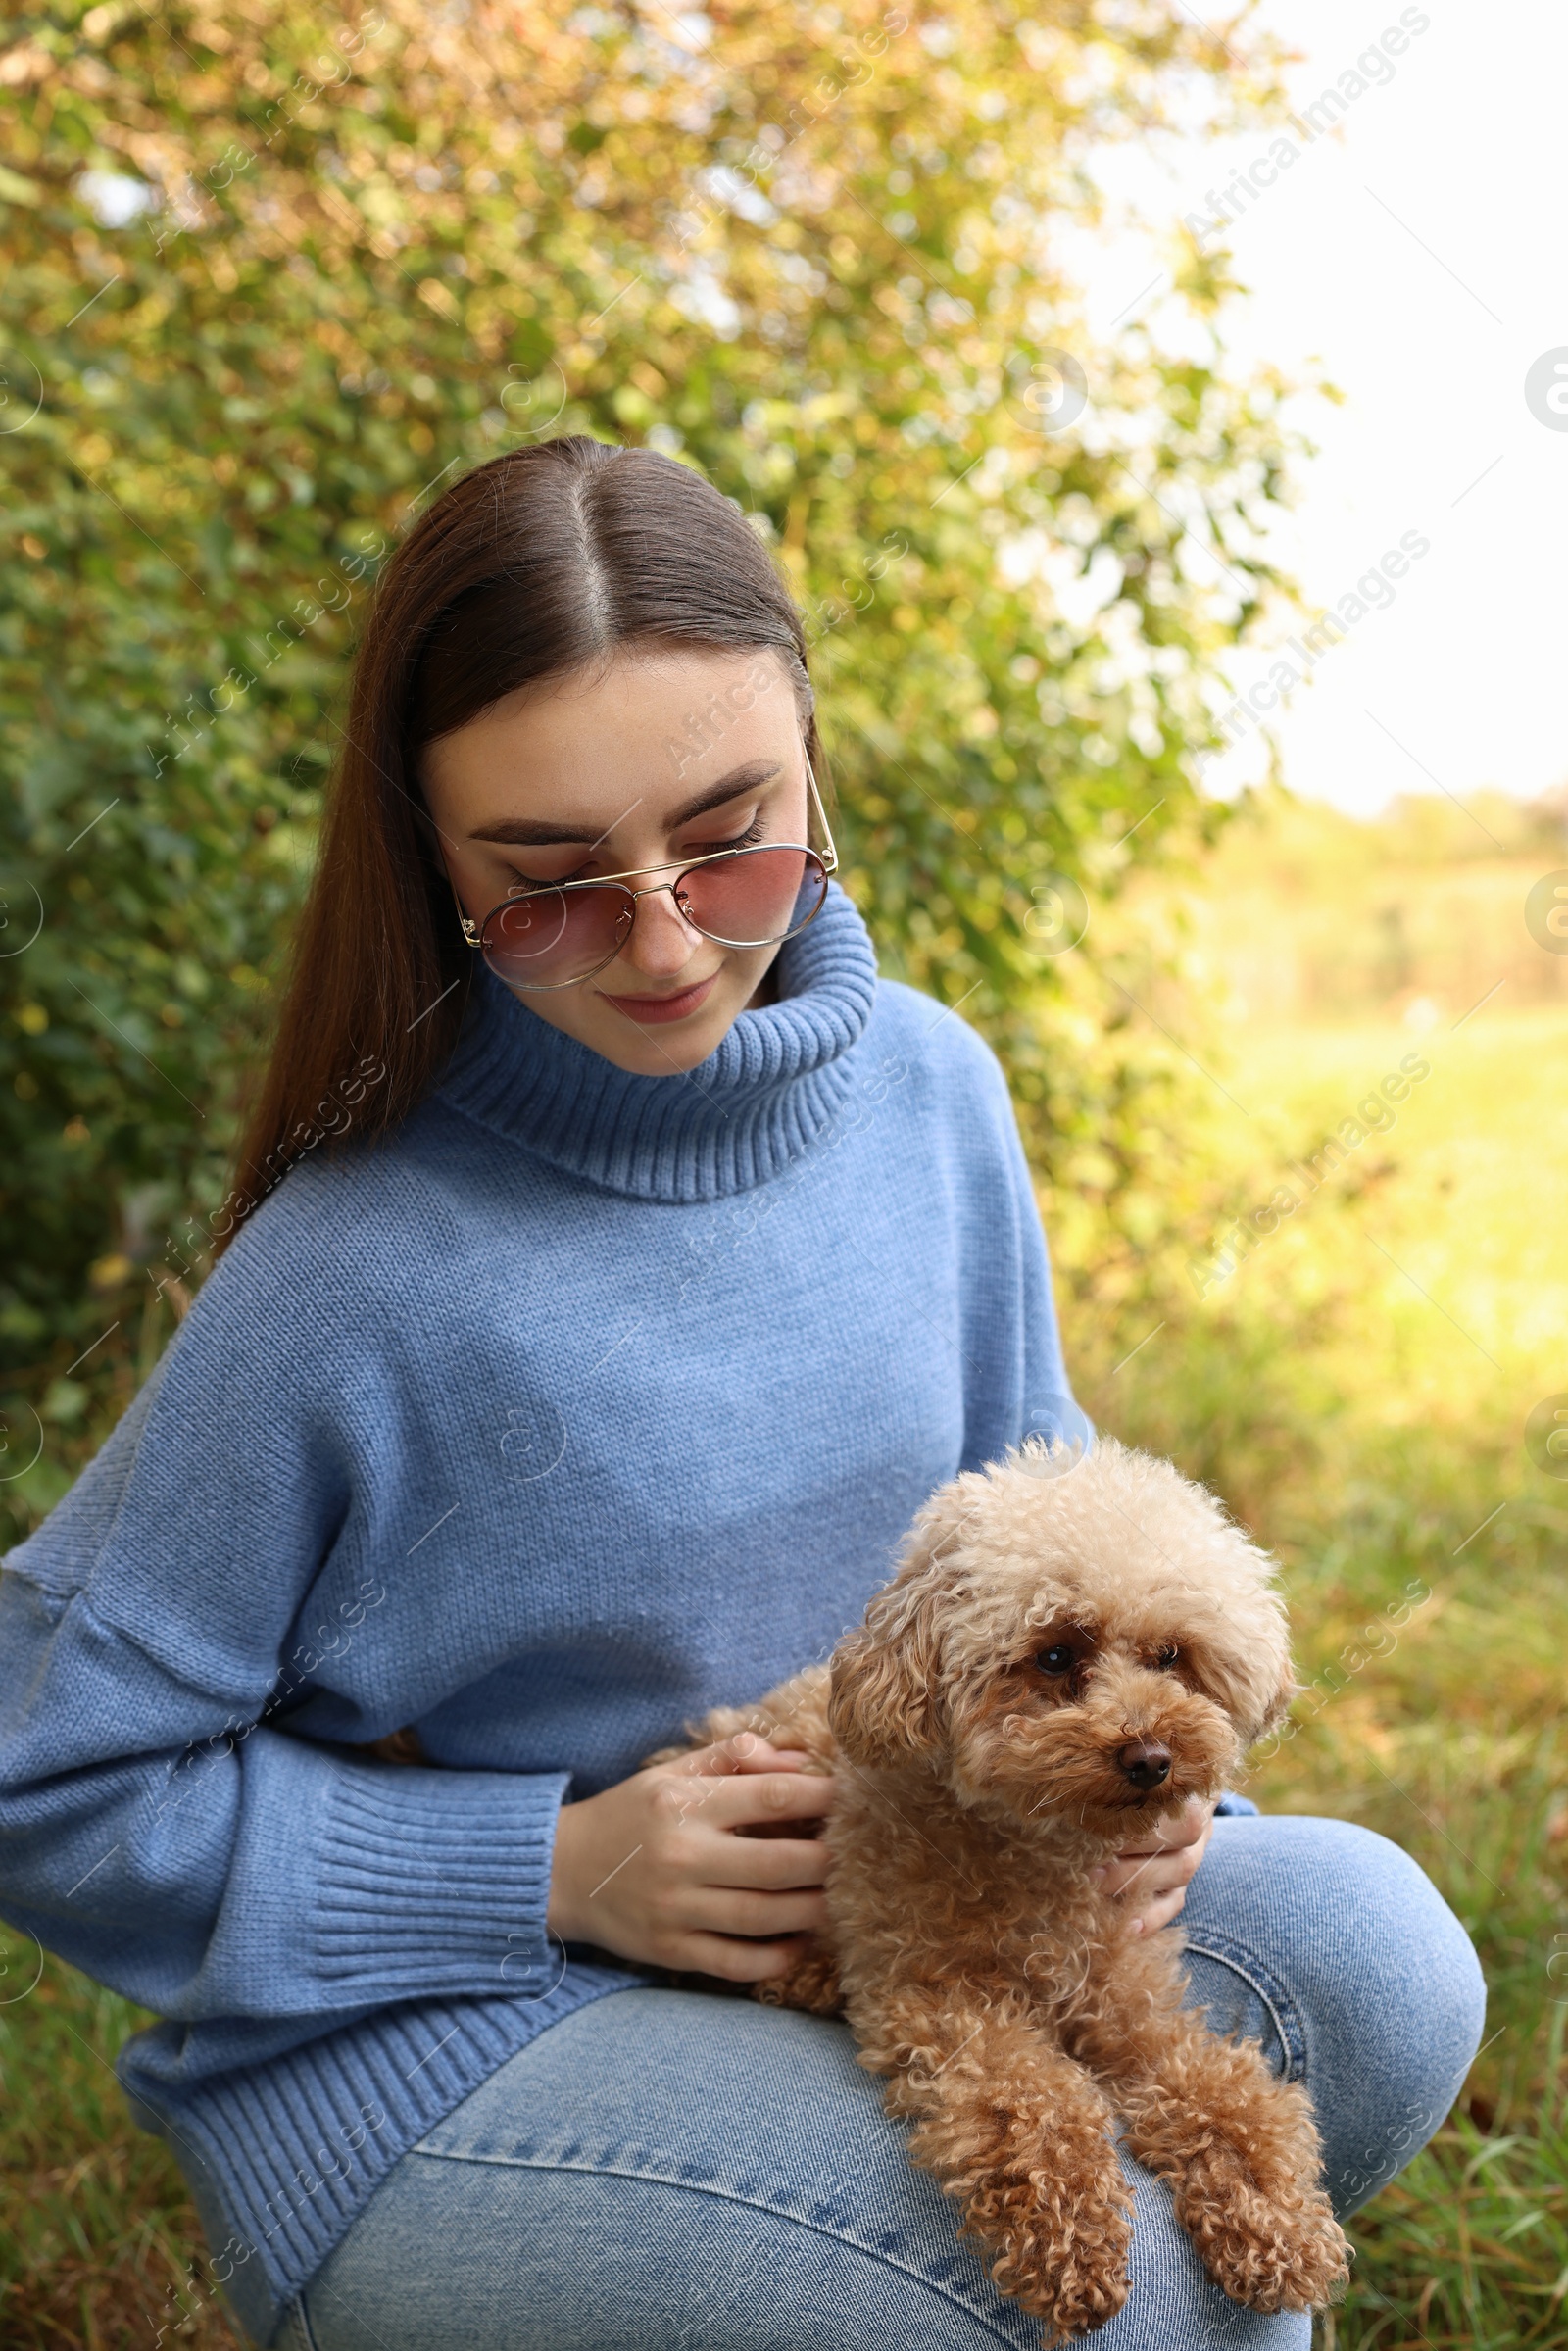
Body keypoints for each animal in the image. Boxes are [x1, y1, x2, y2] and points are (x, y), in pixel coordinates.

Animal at [658, 1439, 1353, 2341]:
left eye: (1171, 1655)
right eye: (1055, 1655)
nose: (1151, 1755)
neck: (1036, 1853)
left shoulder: (1129, 2000)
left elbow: (1220, 2090)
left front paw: (1276, 2219)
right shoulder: (941, 1997)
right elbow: (1031, 2101)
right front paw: (1072, 2243)